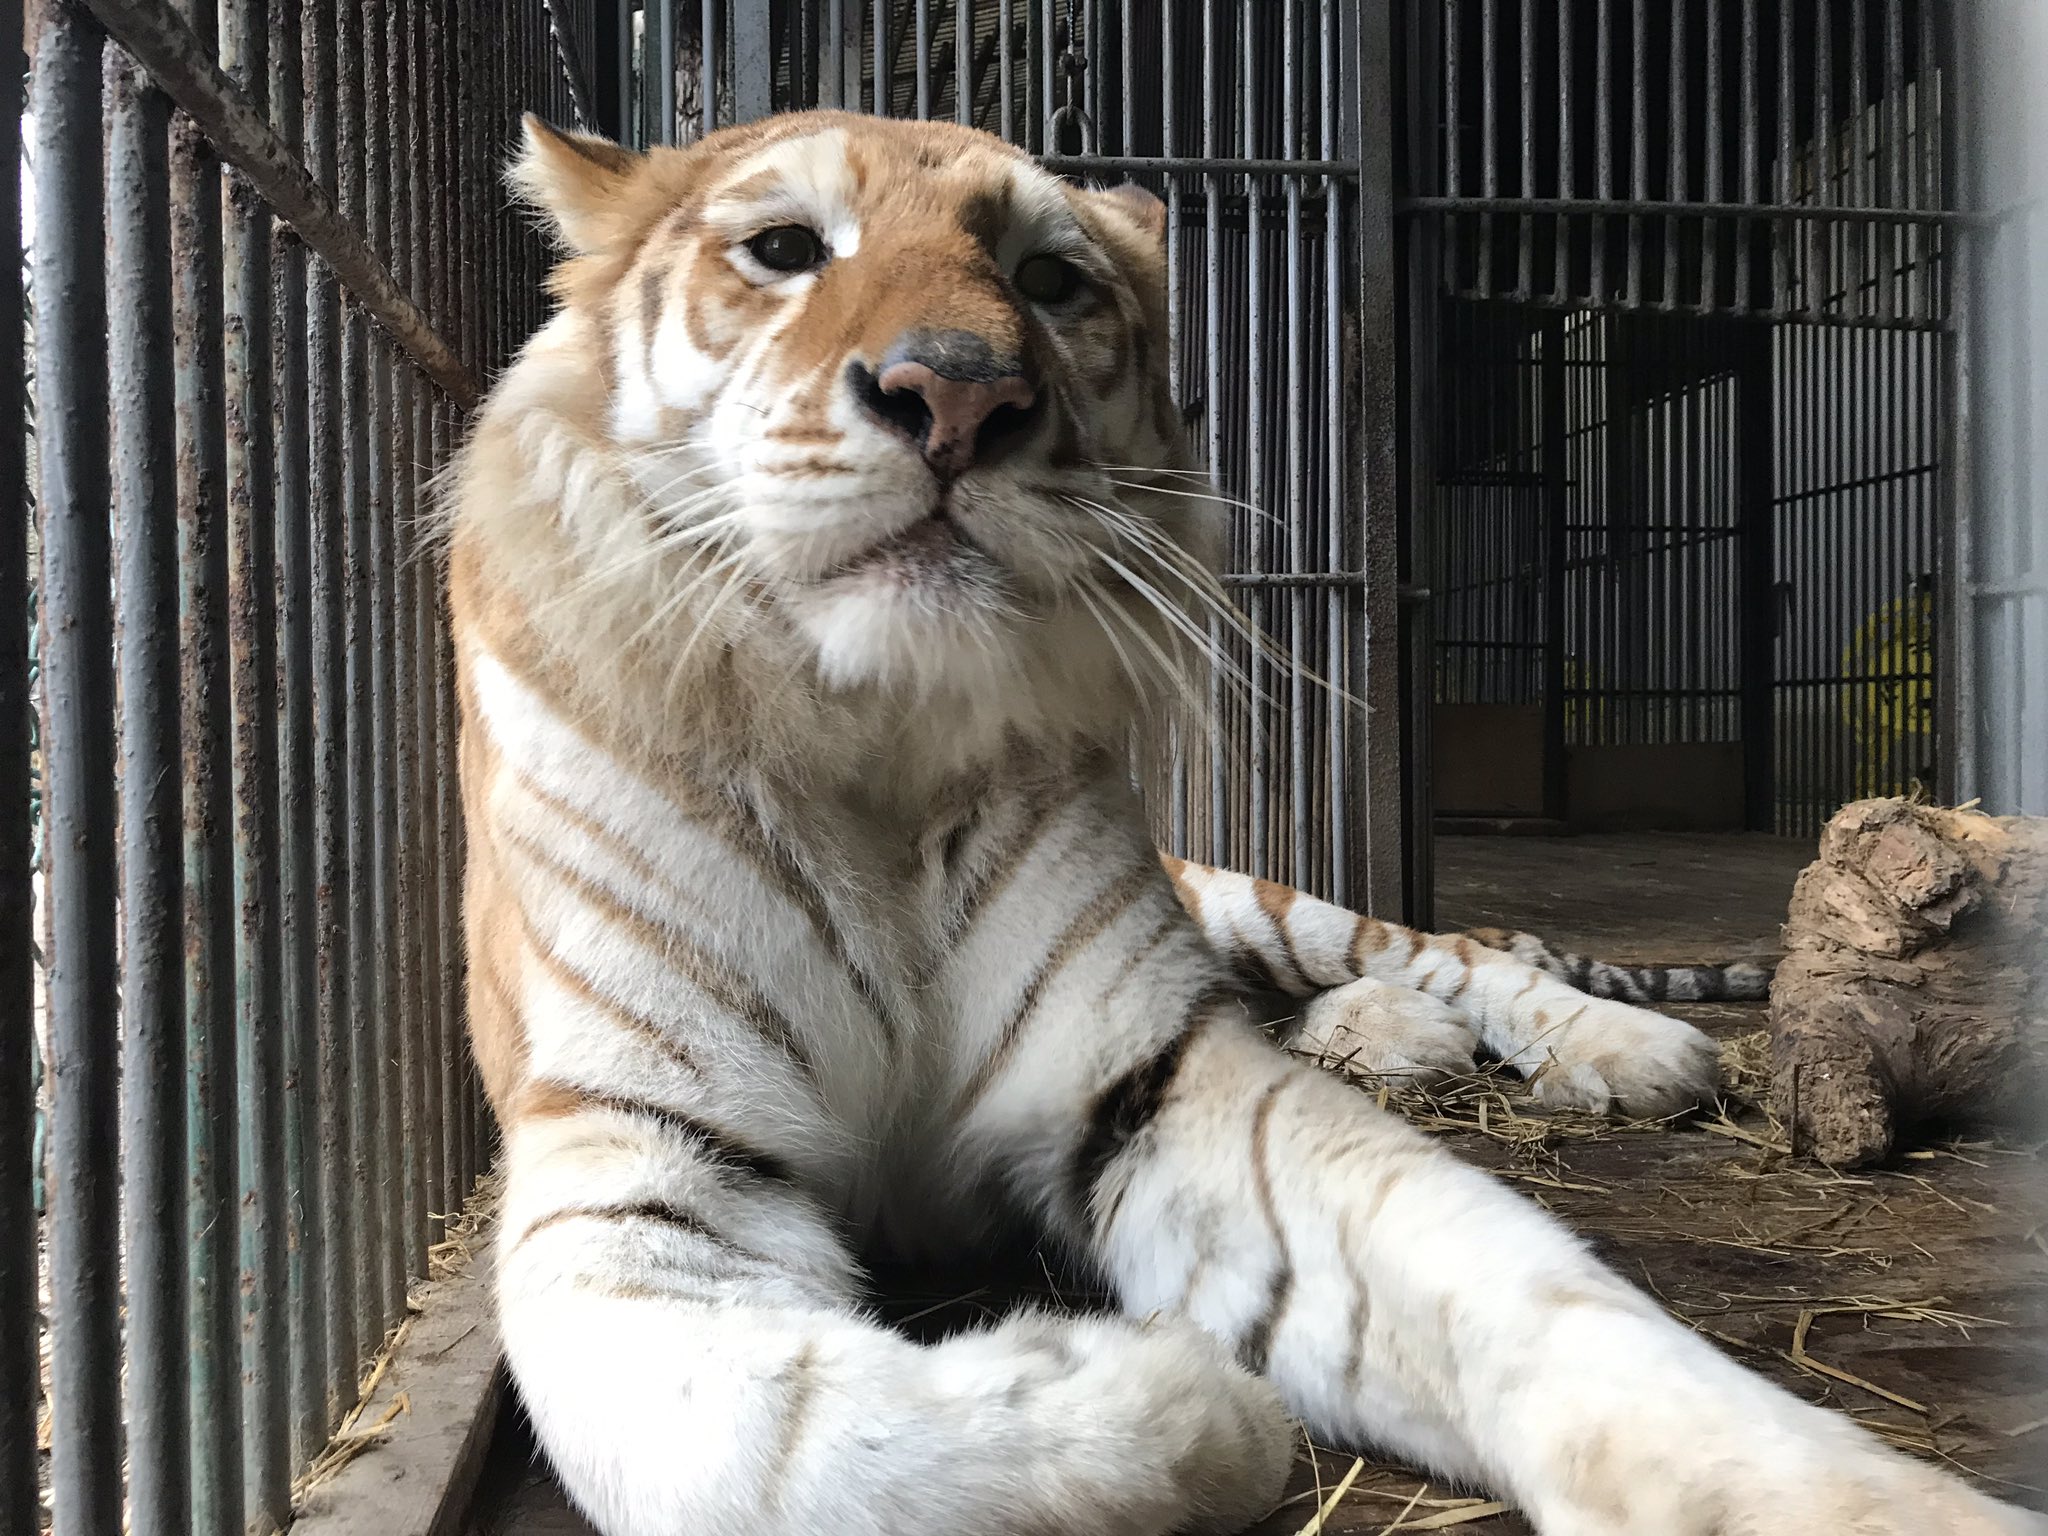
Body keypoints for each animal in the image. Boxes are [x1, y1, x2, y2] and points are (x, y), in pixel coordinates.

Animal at [447, 109, 2037, 1536]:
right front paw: (1181, 1402)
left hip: (1259, 899)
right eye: (784, 249)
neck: (882, 745)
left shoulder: (1151, 1074)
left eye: (1047, 278)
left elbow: (1530, 1293)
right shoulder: (637, 1159)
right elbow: (760, 1454)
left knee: (1460, 953)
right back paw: (1395, 1044)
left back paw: (1613, 1046)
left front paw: (1845, 1502)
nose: (955, 395)